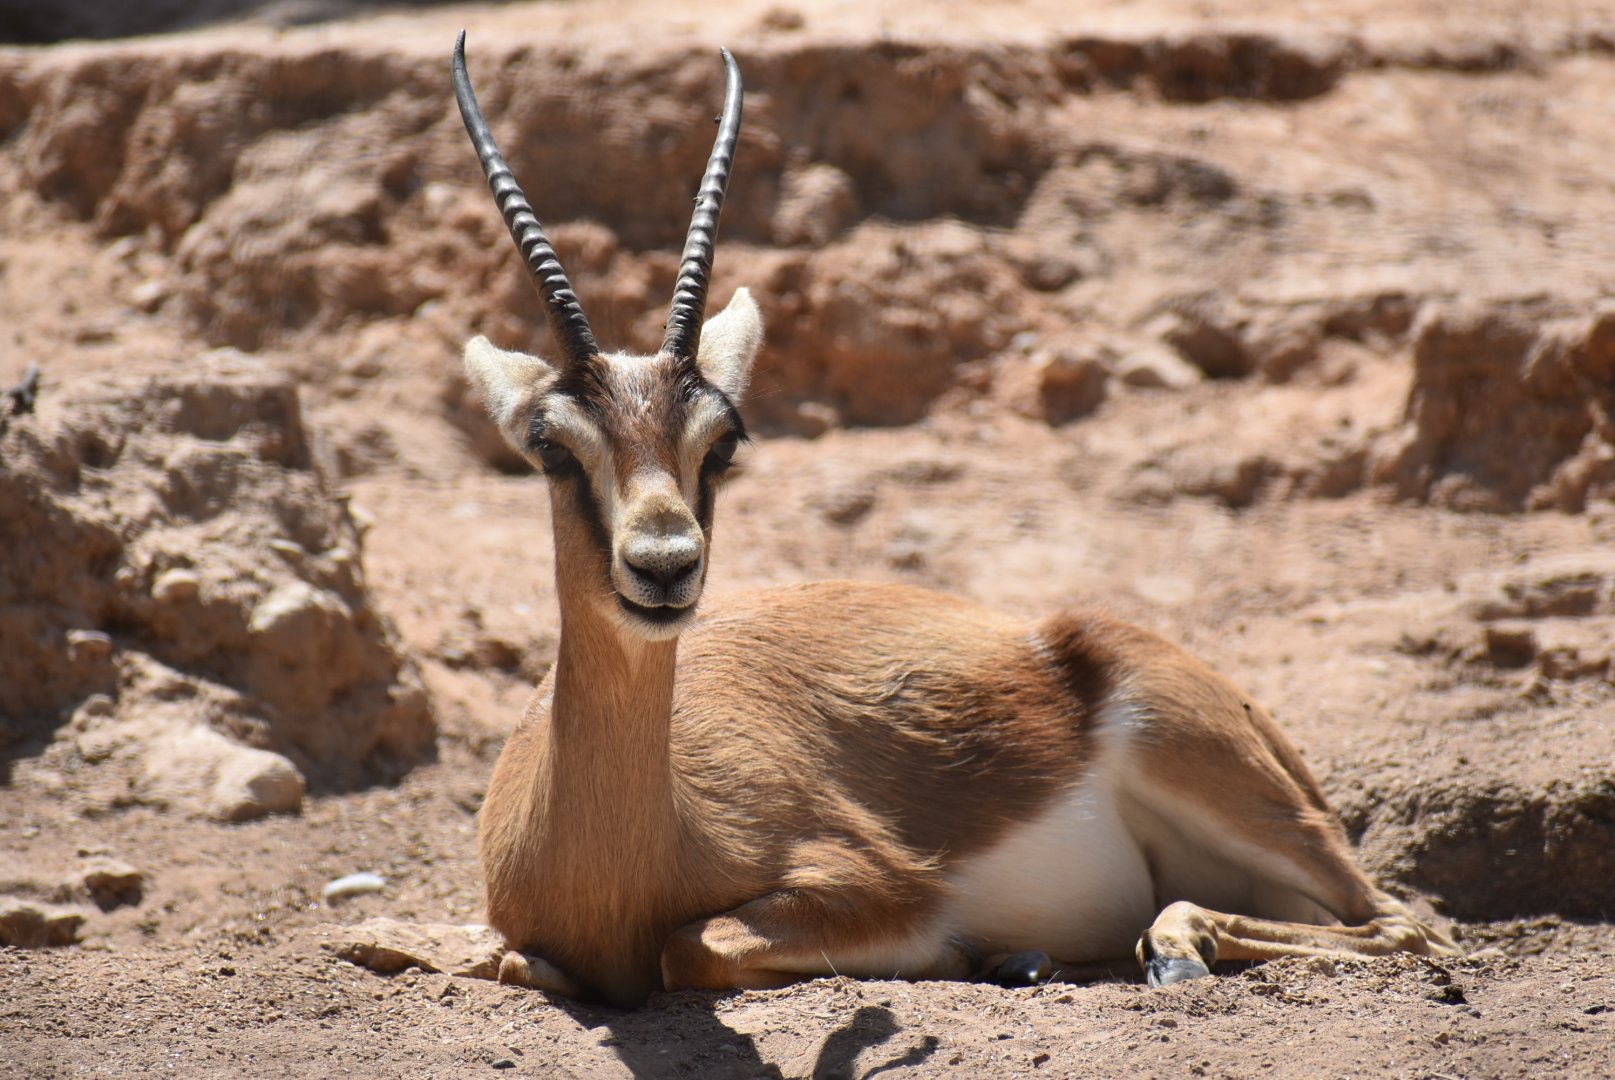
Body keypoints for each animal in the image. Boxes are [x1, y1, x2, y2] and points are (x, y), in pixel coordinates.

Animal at [451, 33, 1457, 1009]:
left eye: (723, 442)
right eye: (551, 446)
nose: (663, 565)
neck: (624, 855)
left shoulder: (874, 889)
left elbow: (690, 946)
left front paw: (974, 955)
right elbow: (511, 959)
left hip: (1221, 777)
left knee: (1409, 926)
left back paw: (1146, 953)